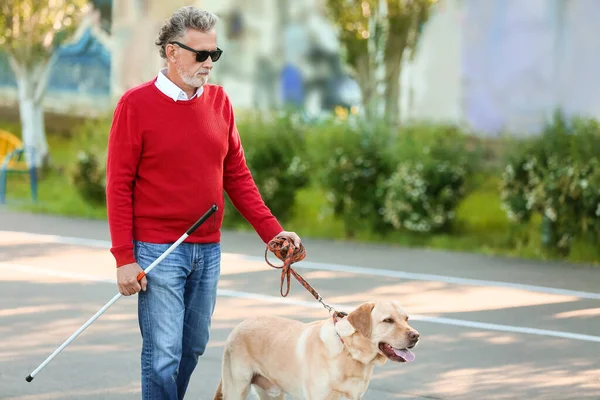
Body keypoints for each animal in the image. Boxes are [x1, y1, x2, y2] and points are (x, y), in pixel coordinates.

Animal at [213, 300, 420, 400]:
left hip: (272, 393)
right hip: (236, 388)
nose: (416, 336)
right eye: (388, 320)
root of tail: (238, 326)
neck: (348, 352)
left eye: (406, 319)